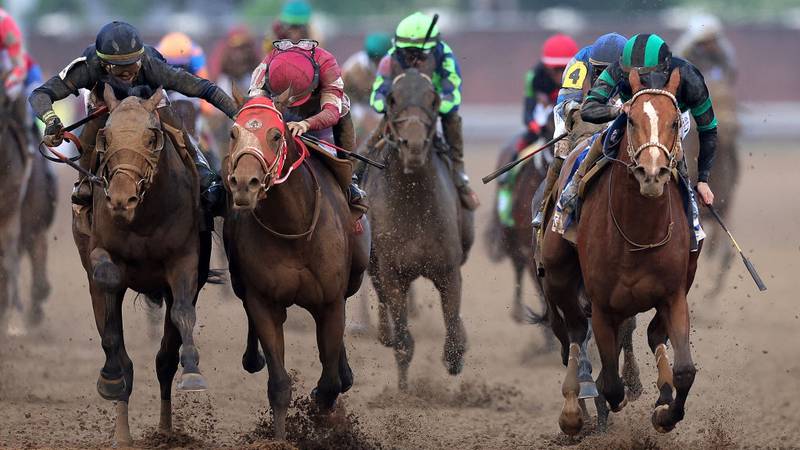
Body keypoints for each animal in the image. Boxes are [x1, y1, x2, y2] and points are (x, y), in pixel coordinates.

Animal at [73, 85, 212, 446]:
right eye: (105, 137)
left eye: (151, 138)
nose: (122, 199)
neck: (144, 217)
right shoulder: (99, 250)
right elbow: (107, 281)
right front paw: (110, 377)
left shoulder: (185, 261)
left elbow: (182, 312)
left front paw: (193, 371)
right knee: (121, 358)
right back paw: (121, 428)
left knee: (163, 360)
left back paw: (165, 429)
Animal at [364, 68, 476, 388]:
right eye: (392, 98)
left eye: (434, 99)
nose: (412, 146)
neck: (414, 204)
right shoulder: (392, 272)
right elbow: (403, 343)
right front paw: (403, 390)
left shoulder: (448, 270)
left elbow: (453, 334)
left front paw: (456, 355)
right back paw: (384, 333)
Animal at [544, 70, 700, 436]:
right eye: (630, 120)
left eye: (675, 121)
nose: (652, 174)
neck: (638, 233)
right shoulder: (602, 306)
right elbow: (611, 384)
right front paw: (603, 400)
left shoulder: (673, 295)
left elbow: (684, 370)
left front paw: (665, 412)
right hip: (557, 274)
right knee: (574, 333)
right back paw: (573, 409)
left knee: (652, 336)